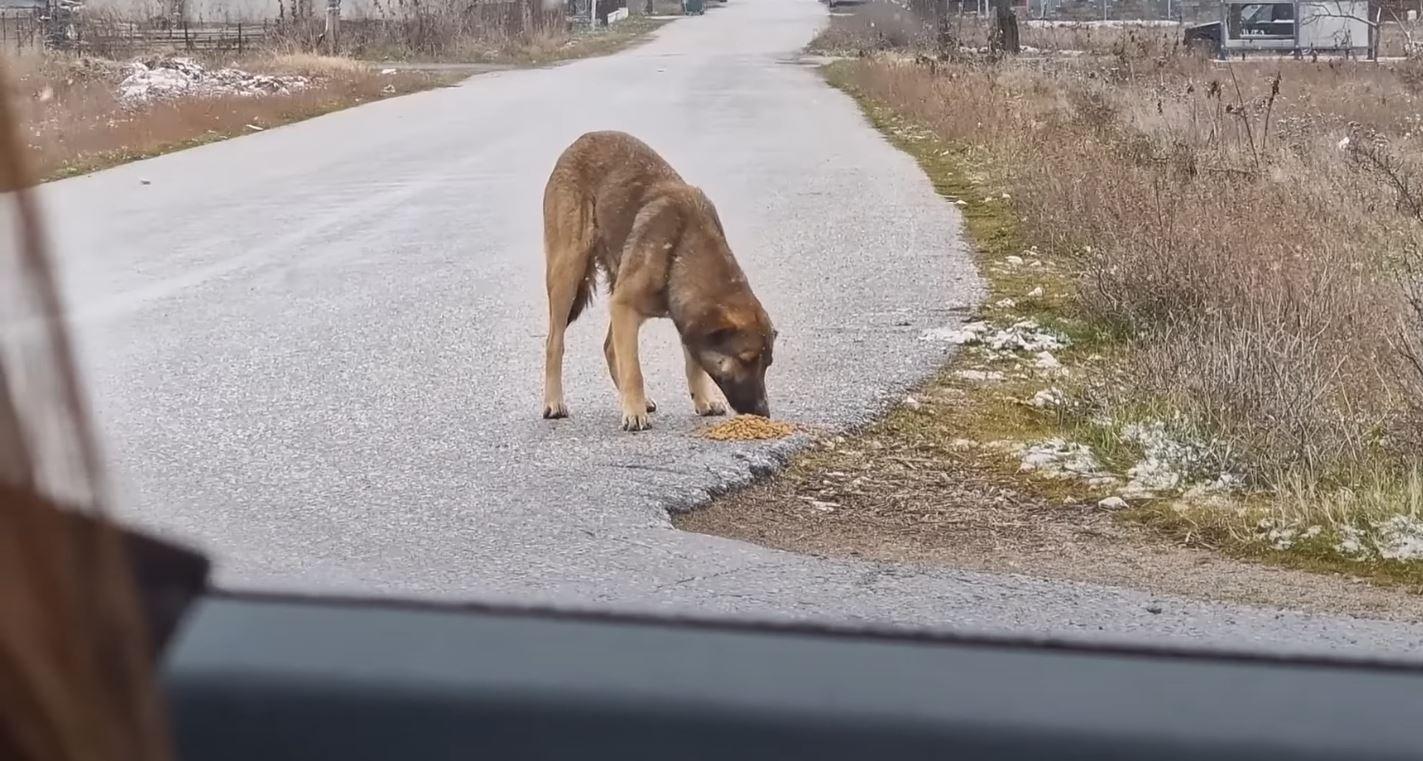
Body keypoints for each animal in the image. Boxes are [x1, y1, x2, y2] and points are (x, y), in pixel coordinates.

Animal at [537, 130, 779, 429]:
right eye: (746, 360)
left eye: (767, 363)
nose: (763, 413)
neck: (683, 249)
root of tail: (582, 138)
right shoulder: (625, 305)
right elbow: (634, 370)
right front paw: (634, 412)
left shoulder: (670, 315)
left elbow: (692, 363)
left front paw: (702, 400)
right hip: (568, 271)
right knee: (554, 342)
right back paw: (554, 401)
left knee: (610, 347)